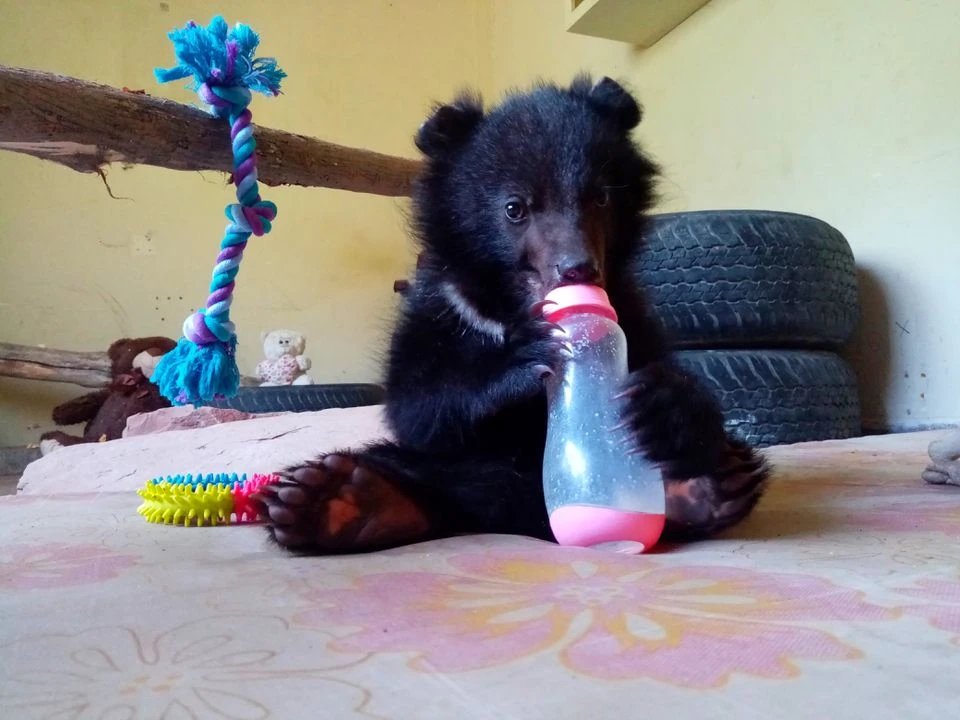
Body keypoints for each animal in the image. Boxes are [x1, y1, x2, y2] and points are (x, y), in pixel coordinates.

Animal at [254, 75, 771, 553]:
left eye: (601, 197)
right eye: (515, 209)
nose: (579, 268)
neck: (509, 303)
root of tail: (519, 515)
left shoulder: (631, 310)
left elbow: (662, 369)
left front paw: (663, 402)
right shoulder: (437, 312)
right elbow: (417, 407)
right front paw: (527, 356)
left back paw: (710, 481)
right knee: (414, 469)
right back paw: (333, 499)